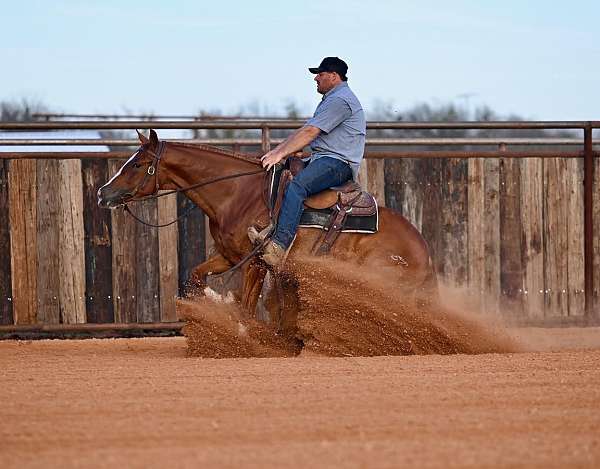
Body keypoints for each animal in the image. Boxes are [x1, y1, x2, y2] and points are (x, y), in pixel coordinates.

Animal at [98, 130, 436, 330]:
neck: (238, 194)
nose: (103, 192)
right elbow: (196, 277)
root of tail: (424, 252)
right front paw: (212, 301)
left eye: (137, 164)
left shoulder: (256, 262)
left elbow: (247, 308)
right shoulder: (229, 256)